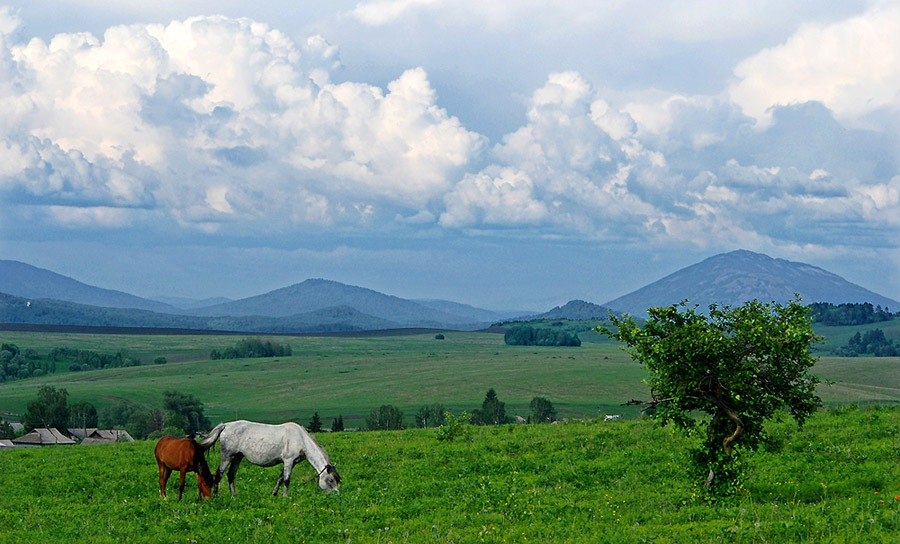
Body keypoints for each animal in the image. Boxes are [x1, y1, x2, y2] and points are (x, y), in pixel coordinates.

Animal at [200, 420, 342, 498]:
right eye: (330, 480)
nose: (336, 494)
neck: (301, 439)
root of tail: (226, 425)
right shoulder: (288, 461)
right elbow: (286, 480)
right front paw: (285, 497)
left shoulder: (291, 463)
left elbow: (280, 479)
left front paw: (274, 494)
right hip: (227, 456)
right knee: (219, 474)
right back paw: (216, 496)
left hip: (238, 457)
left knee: (230, 475)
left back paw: (233, 496)